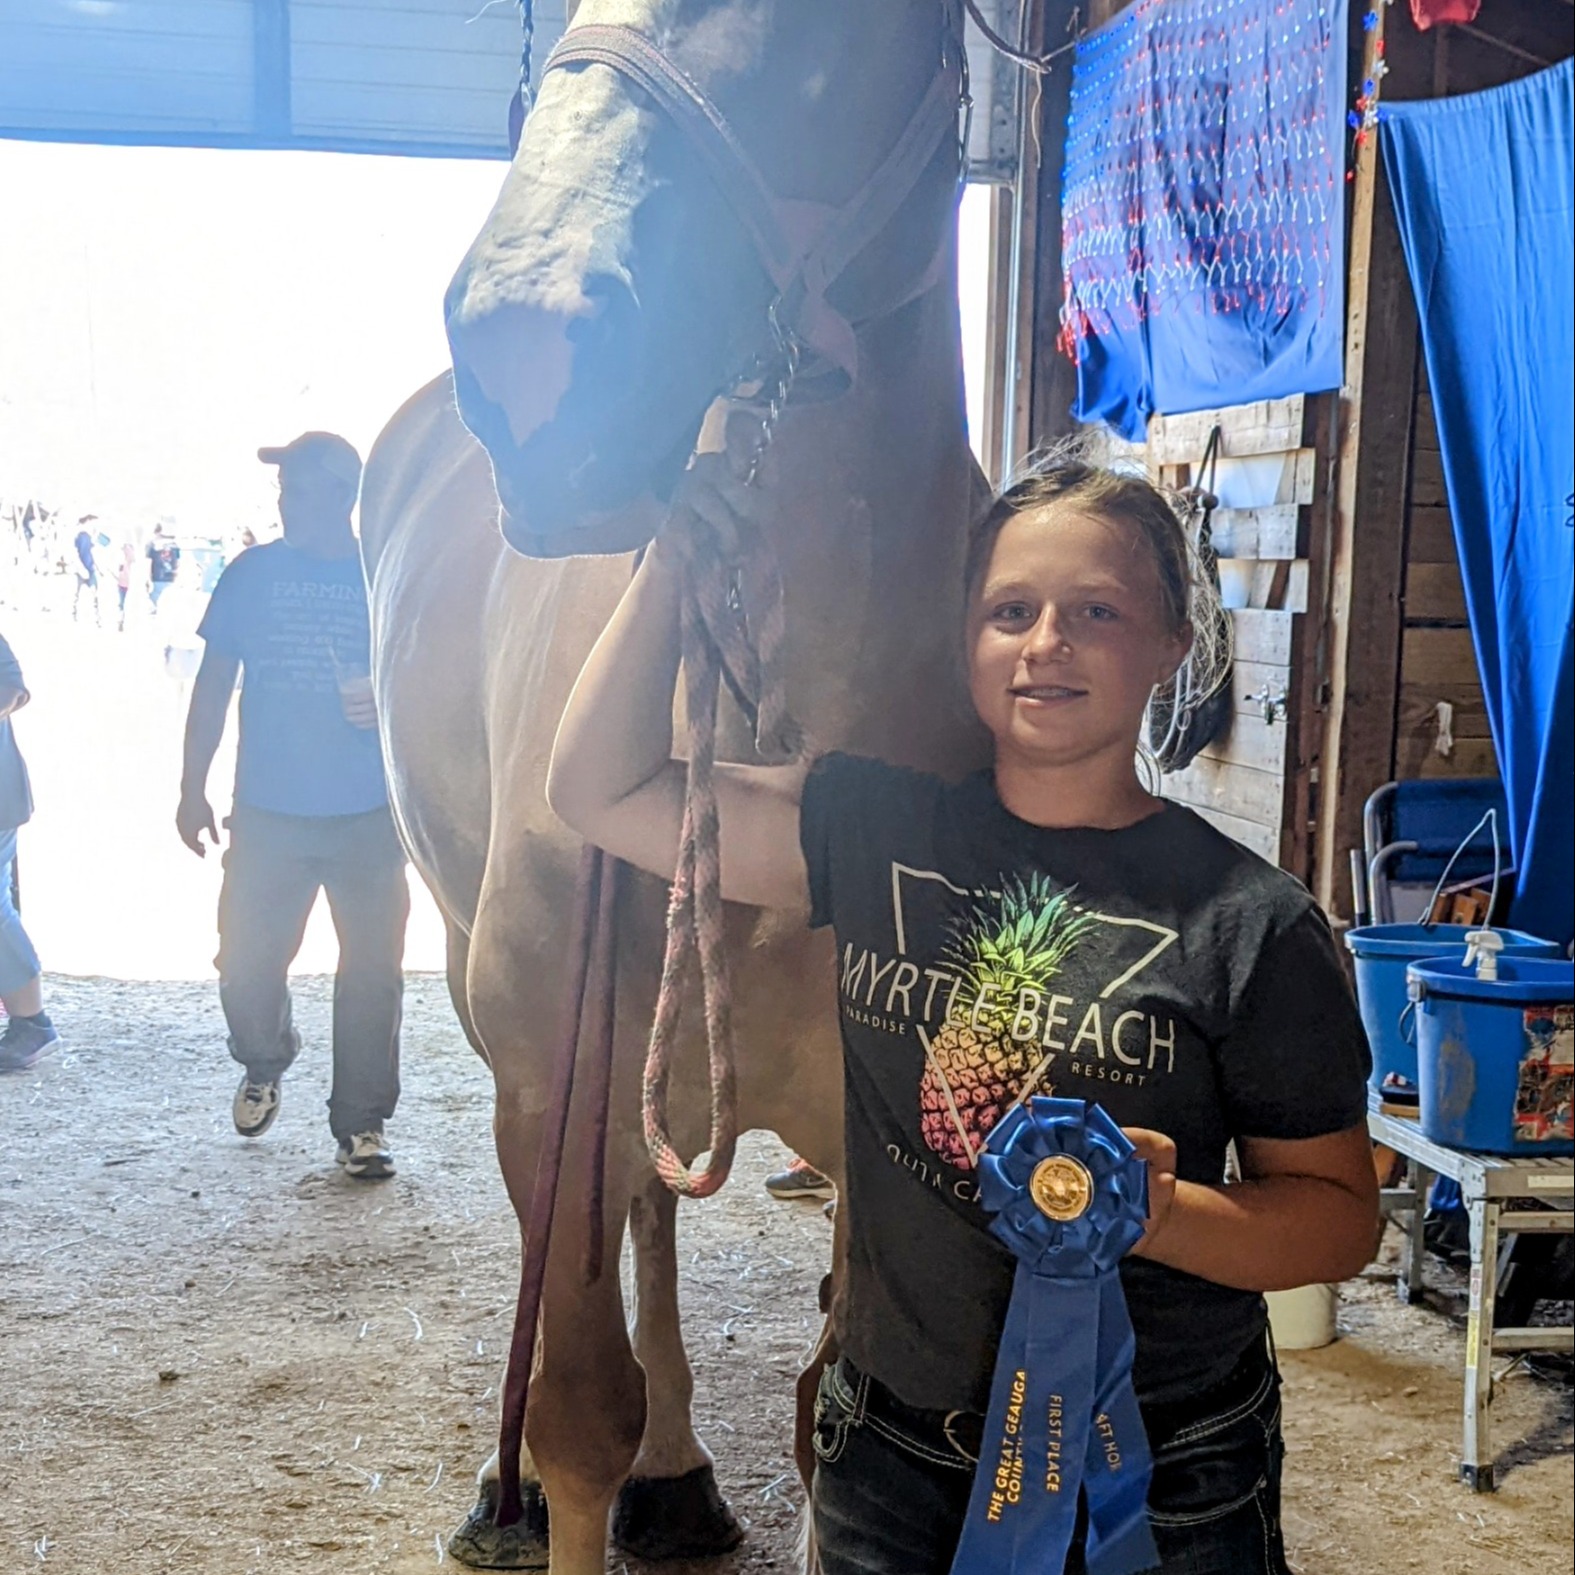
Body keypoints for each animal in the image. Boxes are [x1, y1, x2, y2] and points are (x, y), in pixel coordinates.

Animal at [362, 6, 989, 1568]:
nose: (536, 350)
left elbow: (837, 1417)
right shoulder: (561, 1079)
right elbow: (579, 1412)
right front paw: (577, 1474)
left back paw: (682, 1464)